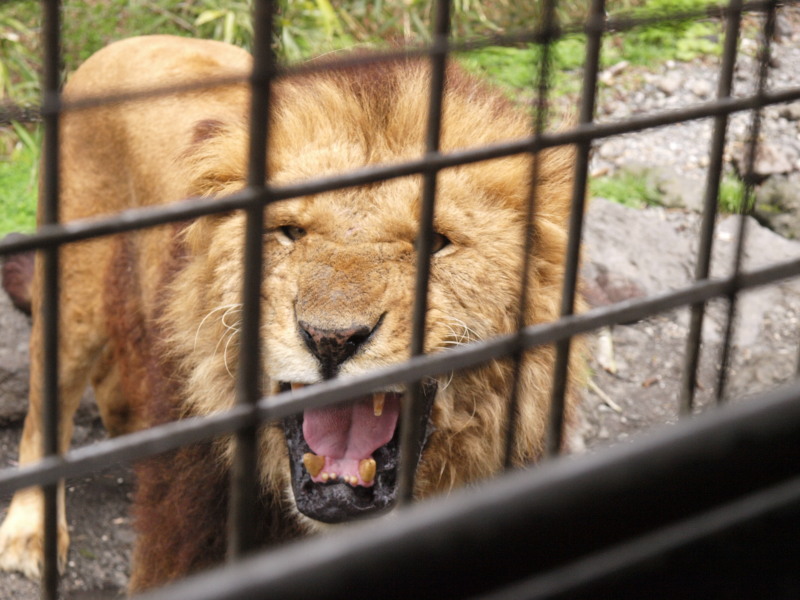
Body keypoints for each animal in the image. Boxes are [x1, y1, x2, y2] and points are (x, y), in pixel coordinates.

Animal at [0, 35, 580, 592]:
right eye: (290, 232)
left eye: (435, 243)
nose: (331, 339)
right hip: (72, 300)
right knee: (43, 420)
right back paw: (30, 533)